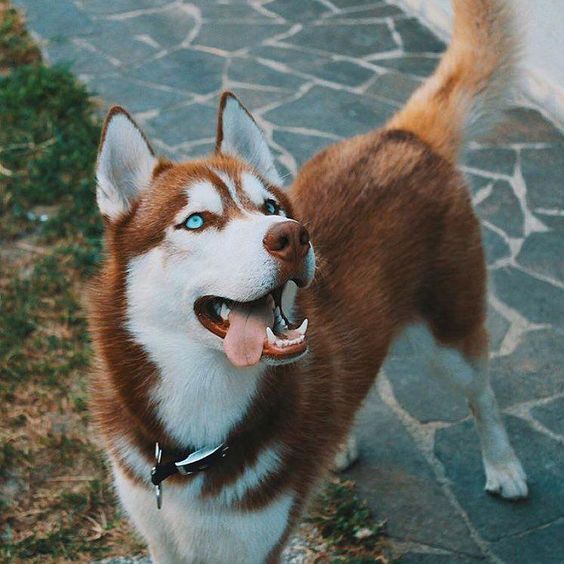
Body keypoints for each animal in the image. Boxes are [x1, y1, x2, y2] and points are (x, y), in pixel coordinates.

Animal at [88, 2, 524, 560]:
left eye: (270, 207)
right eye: (196, 221)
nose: (294, 236)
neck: (199, 426)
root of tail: (402, 136)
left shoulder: (258, 543)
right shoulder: (159, 535)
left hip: (448, 335)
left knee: (481, 391)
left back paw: (504, 465)